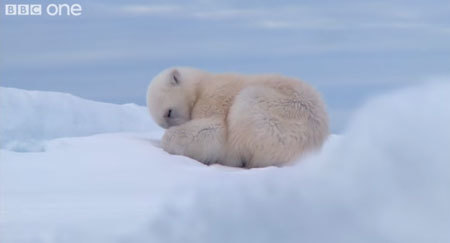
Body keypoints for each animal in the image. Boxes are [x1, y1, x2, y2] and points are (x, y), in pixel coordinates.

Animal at [147, 67, 326, 168]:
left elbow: (216, 130)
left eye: (169, 112)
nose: (171, 126)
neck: (201, 85)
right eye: (162, 123)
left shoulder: (215, 97)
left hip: (280, 117)